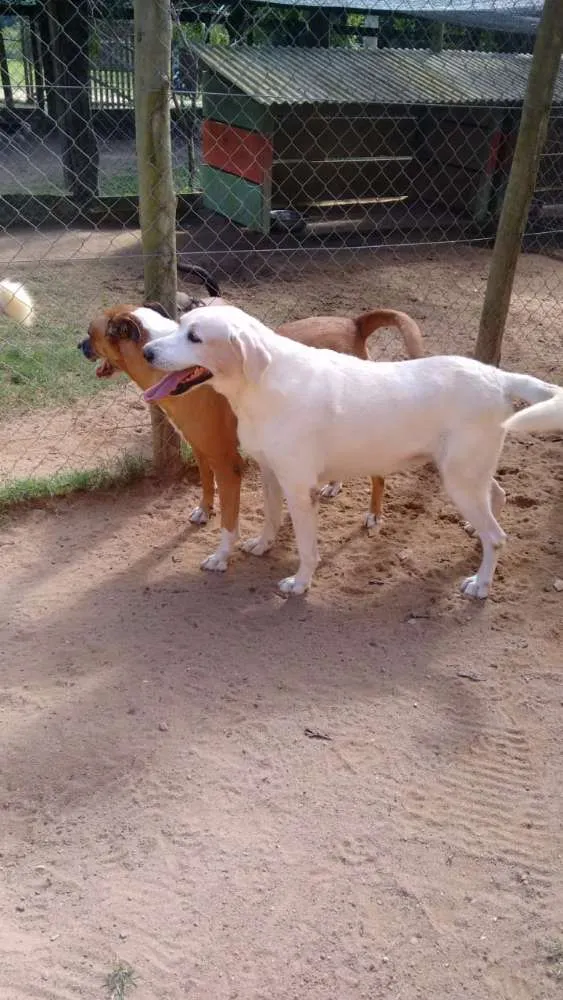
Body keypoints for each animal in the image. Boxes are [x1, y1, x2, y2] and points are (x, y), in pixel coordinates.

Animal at [79, 294, 424, 572]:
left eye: (90, 333)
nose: (78, 346)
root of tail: (354, 324)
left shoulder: (229, 464)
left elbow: (230, 522)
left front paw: (221, 557)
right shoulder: (201, 448)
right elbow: (206, 484)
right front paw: (204, 510)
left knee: (378, 474)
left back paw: (374, 514)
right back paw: (334, 485)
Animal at [142, 304, 563, 596]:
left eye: (195, 337)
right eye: (179, 324)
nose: (146, 351)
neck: (261, 386)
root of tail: (498, 376)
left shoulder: (300, 489)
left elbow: (307, 547)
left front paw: (299, 583)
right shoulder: (270, 473)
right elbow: (271, 518)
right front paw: (261, 545)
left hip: (459, 478)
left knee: (498, 536)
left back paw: (481, 584)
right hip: (470, 473)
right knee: (498, 495)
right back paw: (475, 534)